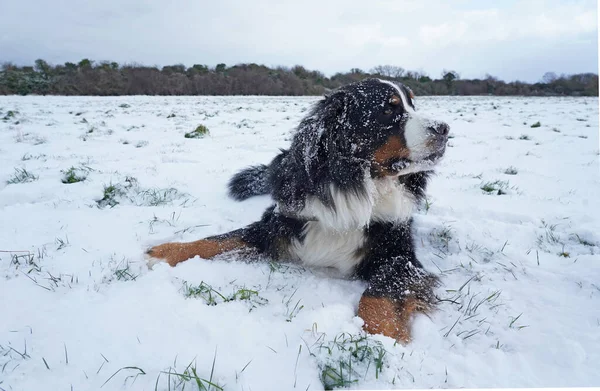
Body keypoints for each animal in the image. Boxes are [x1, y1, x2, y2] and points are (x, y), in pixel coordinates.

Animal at [148, 78, 448, 344]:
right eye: (388, 109)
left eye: (412, 103)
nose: (444, 128)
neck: (357, 186)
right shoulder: (281, 223)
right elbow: (218, 239)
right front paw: (166, 251)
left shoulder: (399, 252)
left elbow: (380, 290)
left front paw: (381, 337)